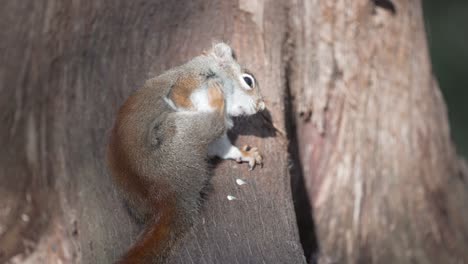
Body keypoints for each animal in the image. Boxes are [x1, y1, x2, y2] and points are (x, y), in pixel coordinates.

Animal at [107, 42, 266, 262]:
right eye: (248, 80)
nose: (261, 106)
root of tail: (167, 194)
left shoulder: (217, 142)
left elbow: (223, 148)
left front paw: (244, 154)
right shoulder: (188, 81)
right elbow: (181, 99)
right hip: (178, 131)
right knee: (212, 123)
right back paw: (216, 102)